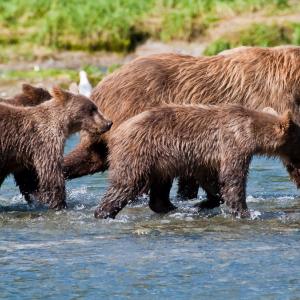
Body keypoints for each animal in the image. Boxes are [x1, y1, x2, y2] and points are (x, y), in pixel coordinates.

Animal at [94, 104, 300, 219]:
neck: (248, 131)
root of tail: (118, 132)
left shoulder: (206, 157)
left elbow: (211, 178)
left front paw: (202, 204)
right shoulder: (232, 145)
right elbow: (233, 178)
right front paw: (244, 212)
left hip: (161, 161)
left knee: (160, 186)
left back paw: (170, 207)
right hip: (140, 153)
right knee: (126, 183)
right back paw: (103, 212)